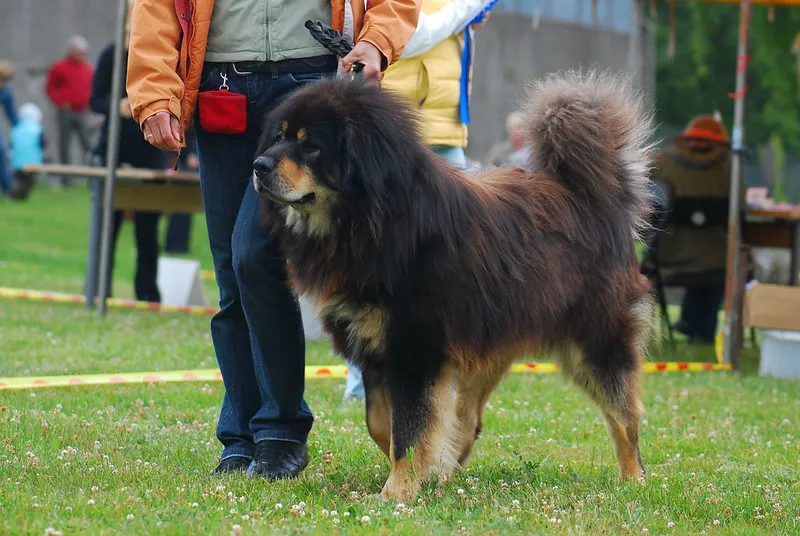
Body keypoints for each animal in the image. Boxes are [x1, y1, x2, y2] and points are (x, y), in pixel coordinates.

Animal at [253, 71, 652, 502]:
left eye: (310, 145)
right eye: (279, 136)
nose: (258, 165)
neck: (371, 221)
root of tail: (595, 196)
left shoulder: (415, 347)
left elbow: (407, 430)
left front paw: (399, 490)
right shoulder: (376, 348)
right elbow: (384, 423)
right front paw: (424, 469)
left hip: (596, 341)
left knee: (625, 416)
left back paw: (635, 478)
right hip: (489, 336)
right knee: (468, 413)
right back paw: (451, 462)